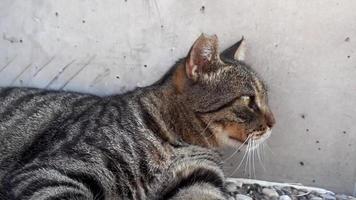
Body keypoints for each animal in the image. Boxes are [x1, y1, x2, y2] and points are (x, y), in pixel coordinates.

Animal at [0, 33, 276, 199]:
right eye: (248, 100)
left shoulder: (200, 179)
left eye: (265, 98)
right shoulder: (49, 171)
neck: (176, 141)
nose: (274, 123)